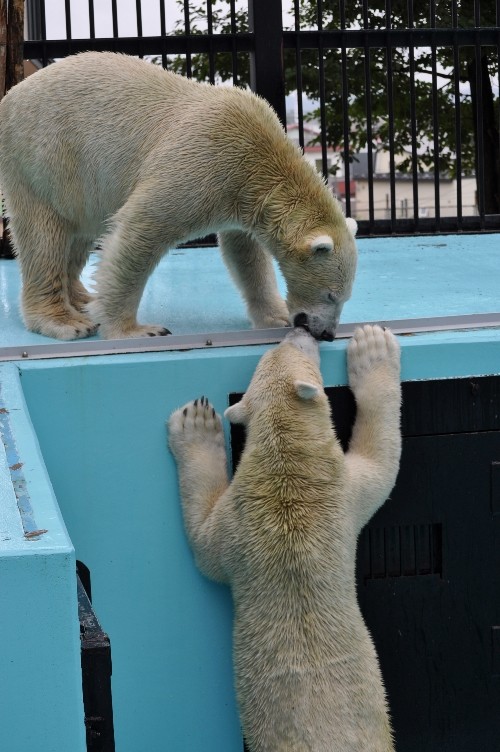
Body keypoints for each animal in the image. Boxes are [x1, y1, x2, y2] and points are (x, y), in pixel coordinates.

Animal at [0, 54, 358, 342]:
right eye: (331, 295)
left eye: (345, 298)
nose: (326, 334)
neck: (261, 157)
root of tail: (11, 95)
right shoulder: (203, 161)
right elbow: (141, 229)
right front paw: (134, 330)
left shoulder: (241, 195)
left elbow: (245, 254)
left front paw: (276, 316)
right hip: (42, 155)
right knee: (44, 236)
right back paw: (65, 321)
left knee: (80, 231)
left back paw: (83, 299)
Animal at [168, 324, 402, 752]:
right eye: (288, 347)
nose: (301, 327)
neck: (286, 461)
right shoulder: (254, 515)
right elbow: (381, 461)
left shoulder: (320, 498)